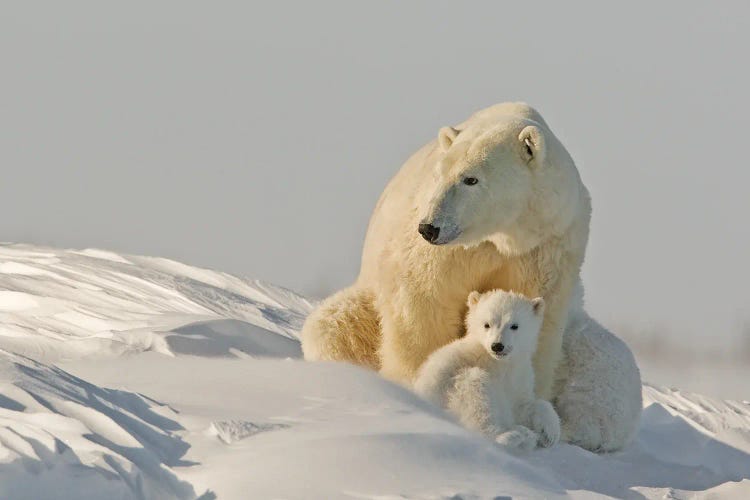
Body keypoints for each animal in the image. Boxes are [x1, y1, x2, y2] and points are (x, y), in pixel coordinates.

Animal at [414, 290, 560, 450]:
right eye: (487, 324)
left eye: (514, 325)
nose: (497, 346)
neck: (497, 363)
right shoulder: (449, 366)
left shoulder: (517, 379)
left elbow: (524, 405)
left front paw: (550, 433)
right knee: (476, 394)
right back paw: (509, 436)